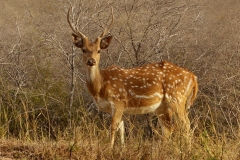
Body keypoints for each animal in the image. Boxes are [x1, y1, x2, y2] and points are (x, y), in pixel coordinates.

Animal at [66, 7, 198, 148]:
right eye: (84, 50)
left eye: (99, 50)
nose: (91, 61)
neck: (100, 87)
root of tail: (193, 77)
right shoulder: (117, 107)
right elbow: (122, 128)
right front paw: (122, 148)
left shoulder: (118, 100)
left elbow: (113, 127)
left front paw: (109, 148)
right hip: (162, 106)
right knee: (168, 128)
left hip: (177, 98)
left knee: (186, 125)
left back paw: (188, 149)